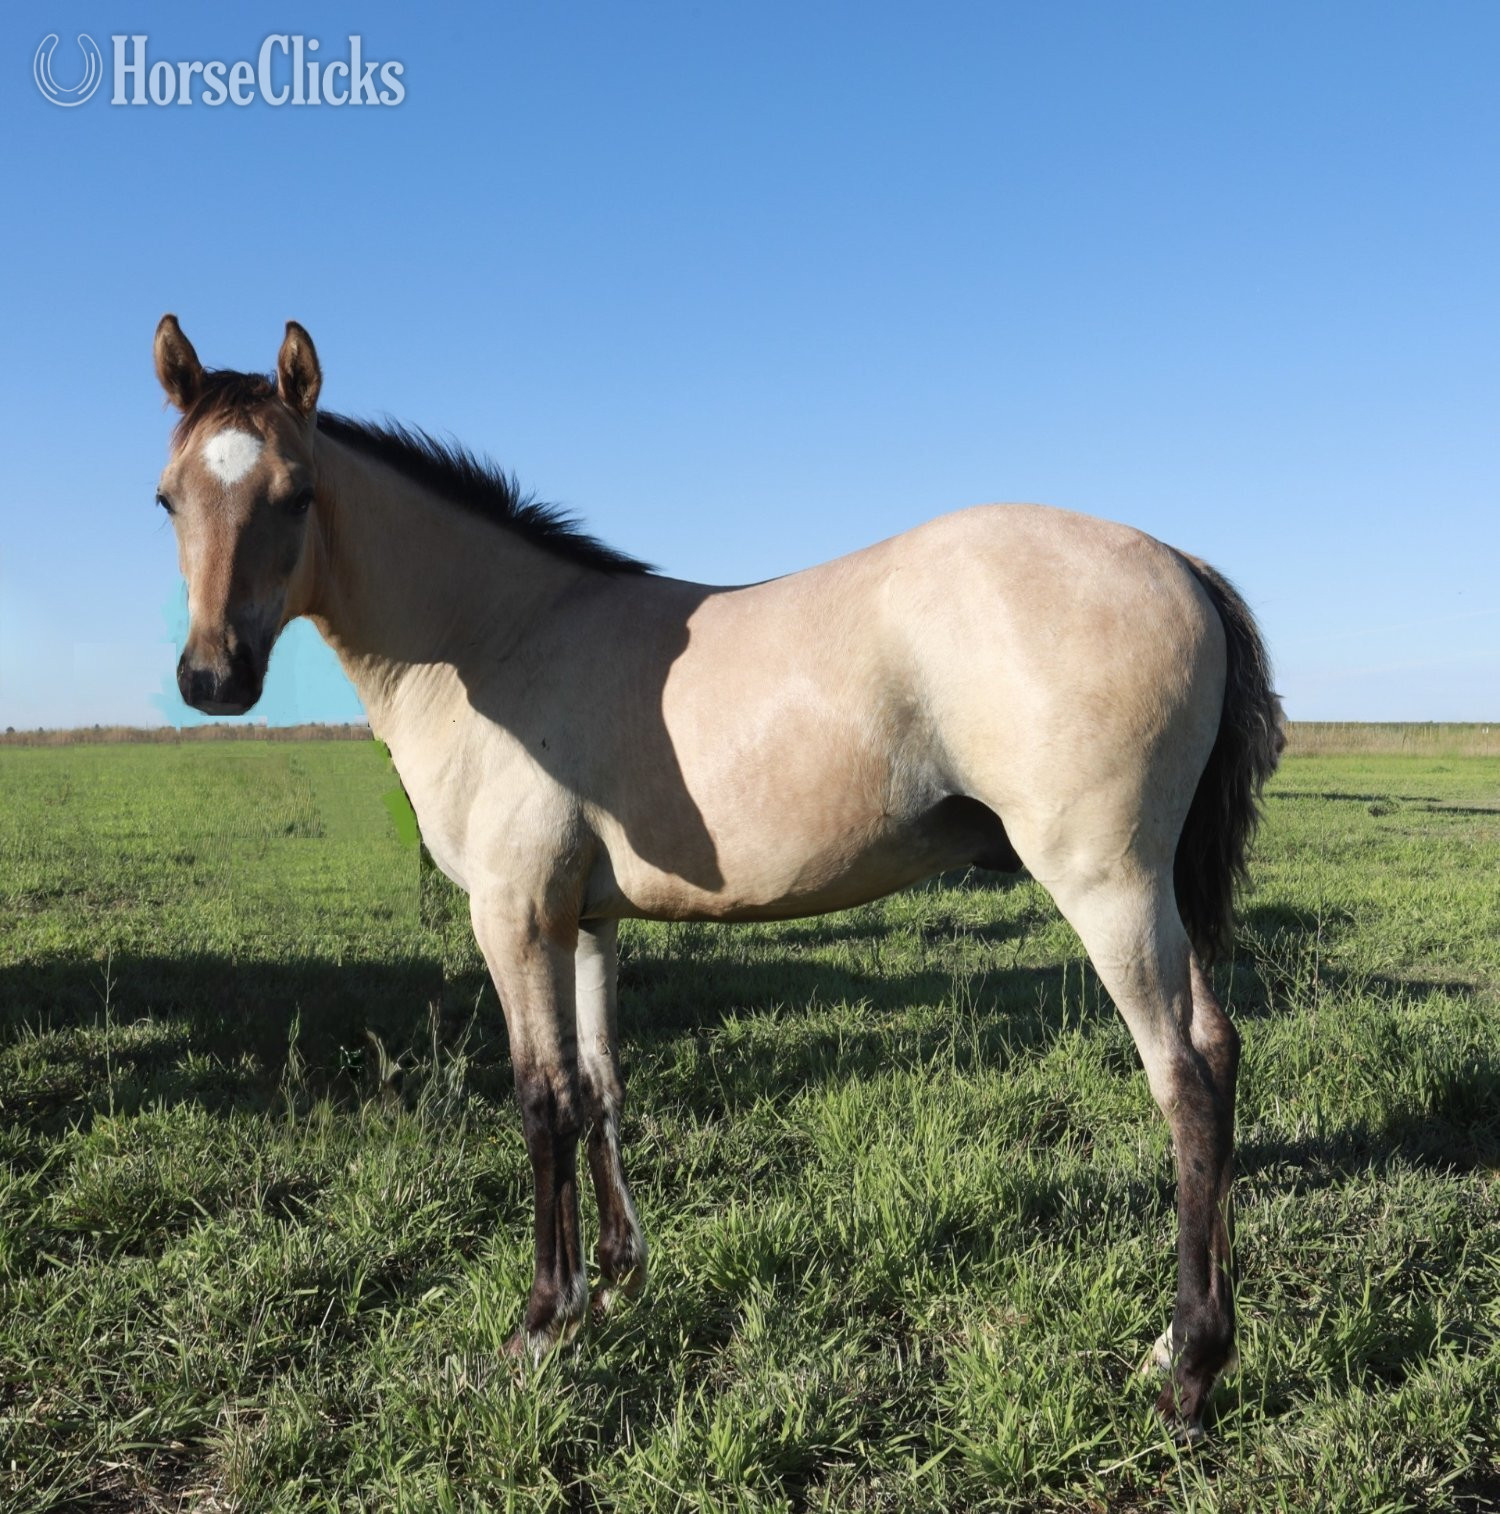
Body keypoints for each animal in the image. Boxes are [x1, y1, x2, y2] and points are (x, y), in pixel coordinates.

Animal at [150, 314, 1281, 1437]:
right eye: (168, 497)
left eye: (297, 493)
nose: (212, 679)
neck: (496, 636)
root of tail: (1176, 561)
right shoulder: (585, 920)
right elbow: (598, 1085)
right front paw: (612, 1282)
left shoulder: (513, 916)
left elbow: (541, 1101)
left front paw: (541, 1322)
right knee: (1214, 1061)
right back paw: (1172, 1347)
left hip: (1110, 886)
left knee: (1189, 1078)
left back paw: (1190, 1373)